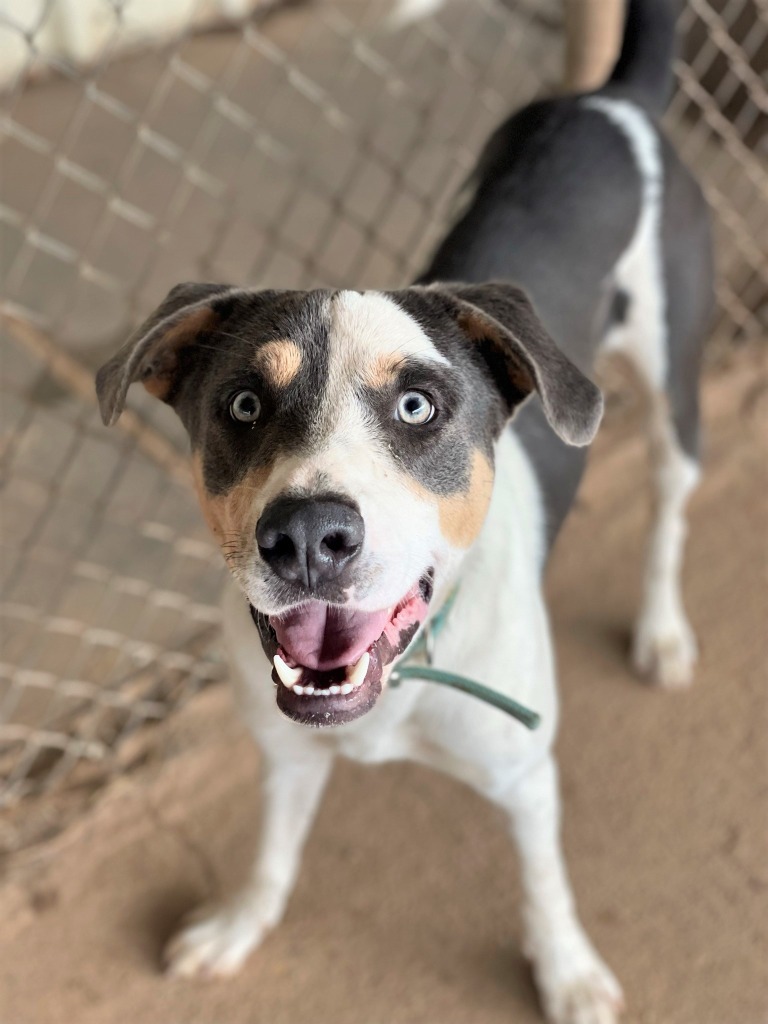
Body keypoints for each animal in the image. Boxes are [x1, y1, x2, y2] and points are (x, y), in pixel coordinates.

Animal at [96, 4, 716, 1019]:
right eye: (242, 405)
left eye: (418, 406)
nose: (307, 536)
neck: (403, 677)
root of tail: (613, 100)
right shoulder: (283, 751)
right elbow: (272, 854)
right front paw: (238, 923)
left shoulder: (525, 774)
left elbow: (544, 880)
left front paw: (567, 968)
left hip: (677, 385)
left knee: (668, 508)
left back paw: (662, 631)